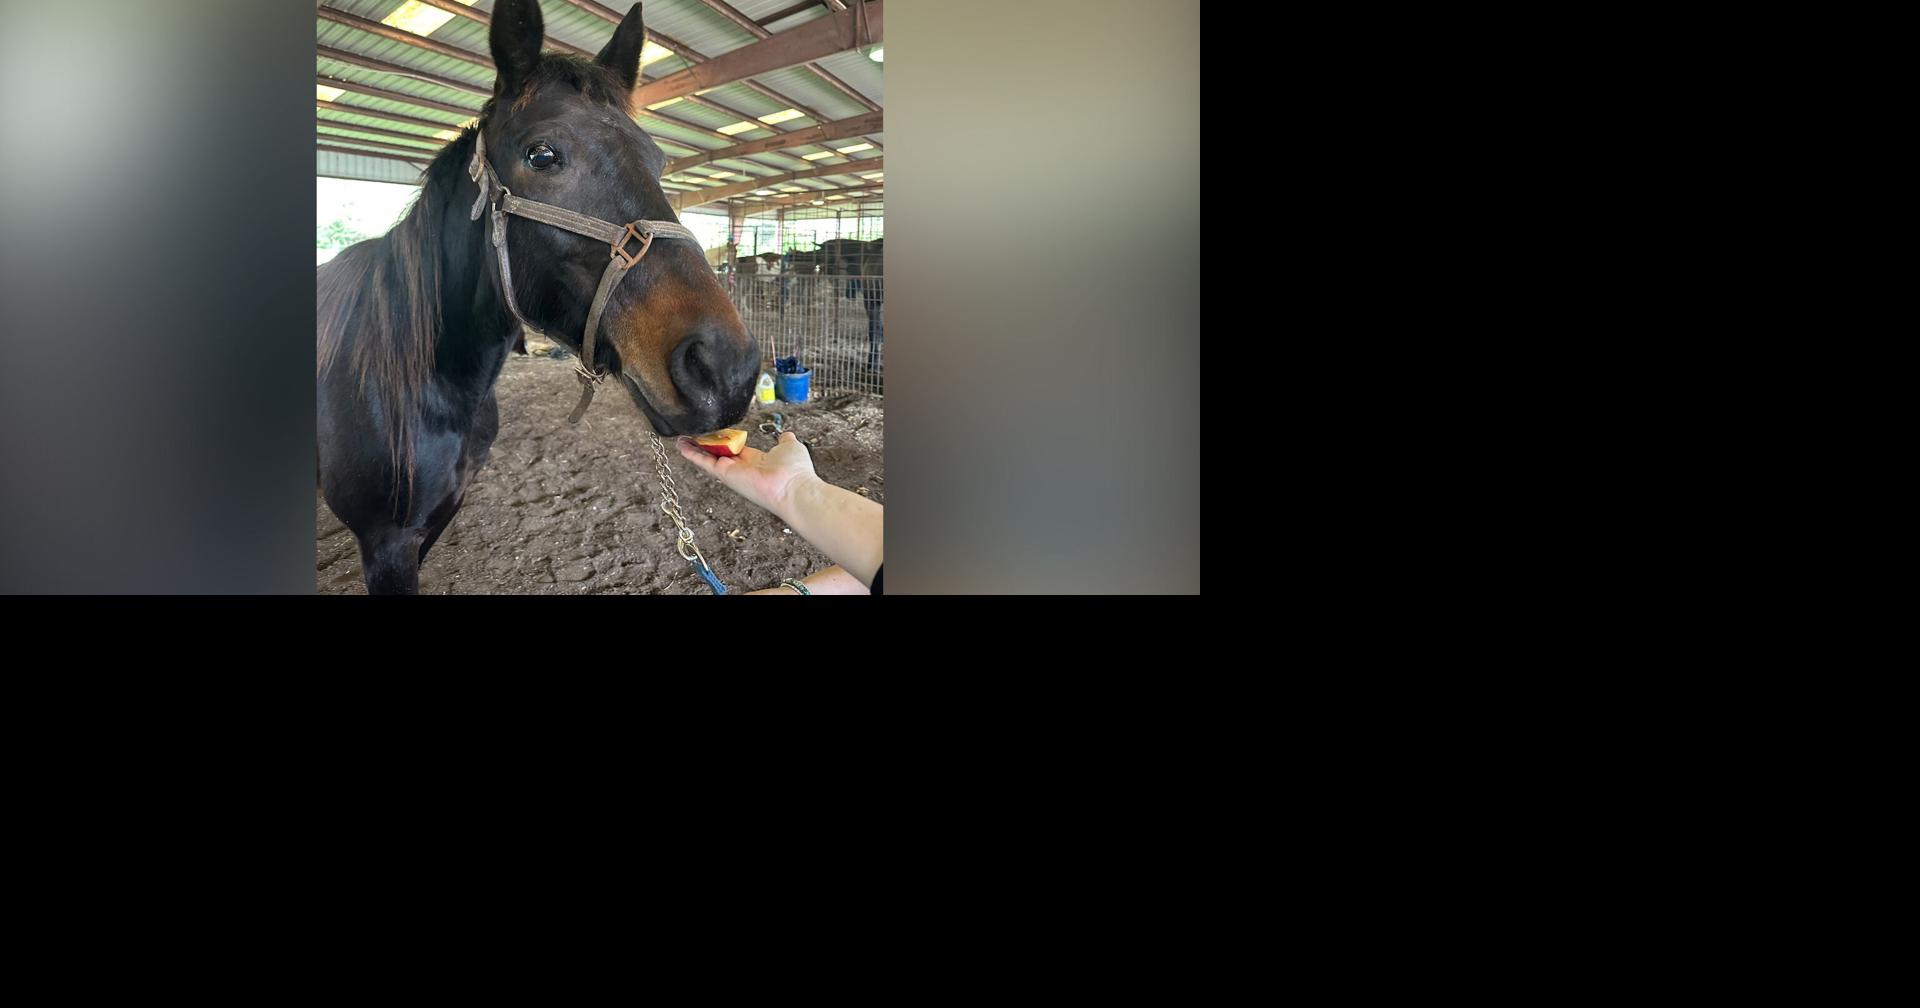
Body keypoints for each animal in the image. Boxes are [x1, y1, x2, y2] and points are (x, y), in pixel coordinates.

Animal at [316, 0, 759, 595]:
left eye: (659, 160)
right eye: (542, 154)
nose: (725, 369)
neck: (432, 381)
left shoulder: (436, 521)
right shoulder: (386, 544)